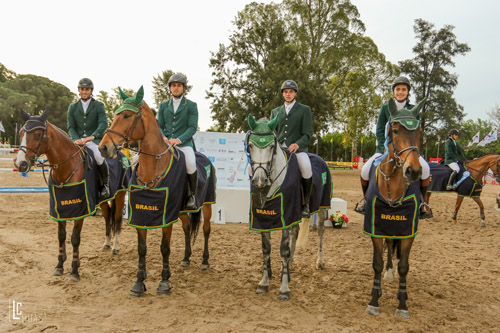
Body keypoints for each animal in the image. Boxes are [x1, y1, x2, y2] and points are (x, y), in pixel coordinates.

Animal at [15, 109, 127, 280]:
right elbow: (61, 235)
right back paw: (107, 244)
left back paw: (115, 247)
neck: (66, 167)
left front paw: (74, 270)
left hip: (120, 195)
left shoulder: (81, 210)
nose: (20, 164)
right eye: (21, 133)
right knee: (108, 217)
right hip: (102, 201)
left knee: (117, 219)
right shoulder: (59, 207)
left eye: (38, 135)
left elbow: (75, 238)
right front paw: (59, 266)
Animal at [99, 86, 213, 296]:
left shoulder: (166, 216)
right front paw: (138, 283)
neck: (153, 166)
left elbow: (164, 248)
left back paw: (204, 261)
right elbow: (142, 248)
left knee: (206, 229)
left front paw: (165, 282)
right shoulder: (141, 213)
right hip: (181, 211)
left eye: (126, 115)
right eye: (116, 114)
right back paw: (186, 259)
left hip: (208, 204)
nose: (104, 148)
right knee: (187, 228)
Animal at [247, 115, 332, 300]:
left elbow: (283, 249)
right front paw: (264, 282)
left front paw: (284, 288)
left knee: (321, 232)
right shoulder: (263, 217)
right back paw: (289, 263)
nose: (259, 180)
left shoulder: (286, 214)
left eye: (272, 146)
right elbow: (266, 249)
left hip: (322, 208)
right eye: (250, 145)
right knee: (296, 231)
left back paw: (320, 262)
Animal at [364, 97, 426, 318]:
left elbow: (404, 266)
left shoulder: (408, 231)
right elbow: (377, 263)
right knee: (388, 249)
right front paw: (374, 300)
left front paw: (402, 304)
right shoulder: (375, 228)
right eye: (396, 130)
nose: (413, 171)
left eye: (419, 131)